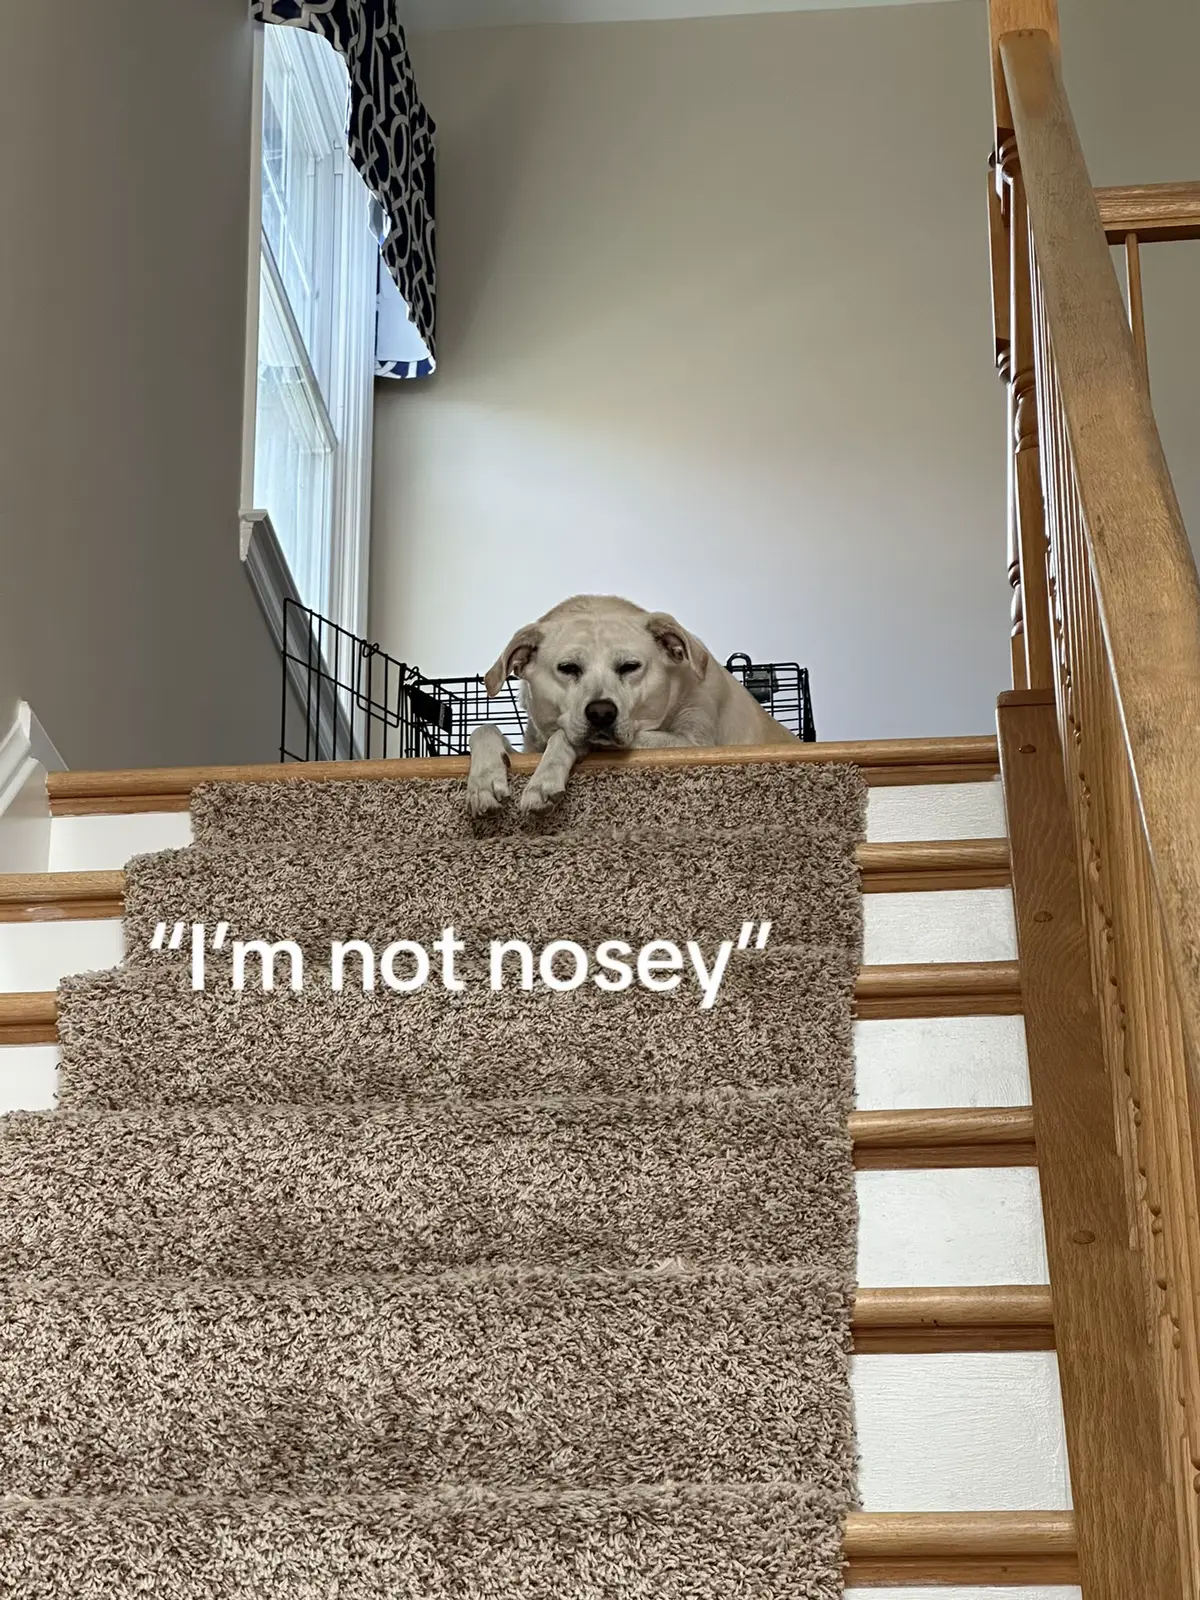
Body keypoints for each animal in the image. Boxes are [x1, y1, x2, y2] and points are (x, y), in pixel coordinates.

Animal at [467, 595, 800, 812]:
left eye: (630, 666)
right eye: (568, 668)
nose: (601, 713)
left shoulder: (692, 743)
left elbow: (563, 738)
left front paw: (543, 780)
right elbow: (483, 730)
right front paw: (483, 781)